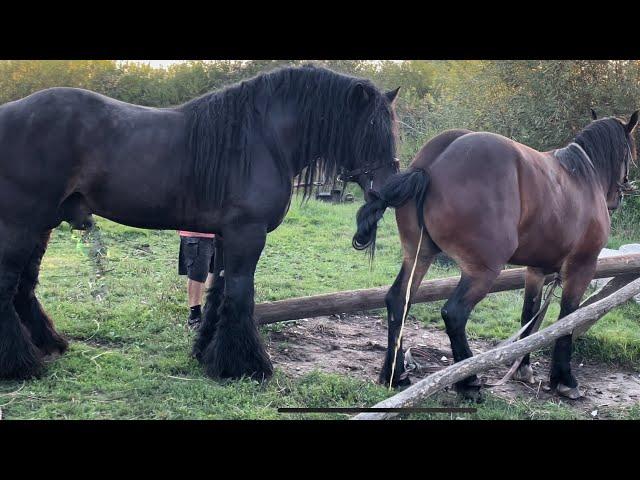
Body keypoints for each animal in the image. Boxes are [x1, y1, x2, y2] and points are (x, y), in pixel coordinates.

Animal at [0, 63, 400, 380]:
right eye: (369, 129)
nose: (389, 190)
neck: (263, 139)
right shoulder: (246, 234)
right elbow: (239, 294)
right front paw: (245, 366)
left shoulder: (225, 236)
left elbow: (218, 293)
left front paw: (207, 353)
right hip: (21, 224)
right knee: (8, 285)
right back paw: (19, 365)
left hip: (42, 225)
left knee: (25, 286)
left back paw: (49, 344)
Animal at [352, 110, 636, 400]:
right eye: (630, 150)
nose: (621, 194)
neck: (582, 178)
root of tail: (430, 166)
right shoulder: (582, 267)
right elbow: (567, 319)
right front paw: (565, 380)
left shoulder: (536, 270)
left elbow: (530, 316)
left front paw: (523, 367)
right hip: (482, 271)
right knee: (454, 313)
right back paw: (468, 381)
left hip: (418, 255)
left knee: (398, 301)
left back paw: (395, 375)